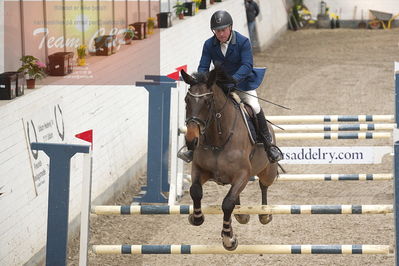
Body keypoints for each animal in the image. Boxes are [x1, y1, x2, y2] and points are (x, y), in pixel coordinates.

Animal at [180, 66, 278, 249]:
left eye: (207, 102)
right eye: (186, 100)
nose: (191, 141)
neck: (218, 138)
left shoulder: (243, 174)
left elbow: (227, 203)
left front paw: (228, 238)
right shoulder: (200, 169)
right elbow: (195, 191)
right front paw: (196, 217)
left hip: (268, 171)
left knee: (263, 186)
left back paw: (264, 215)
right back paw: (241, 215)